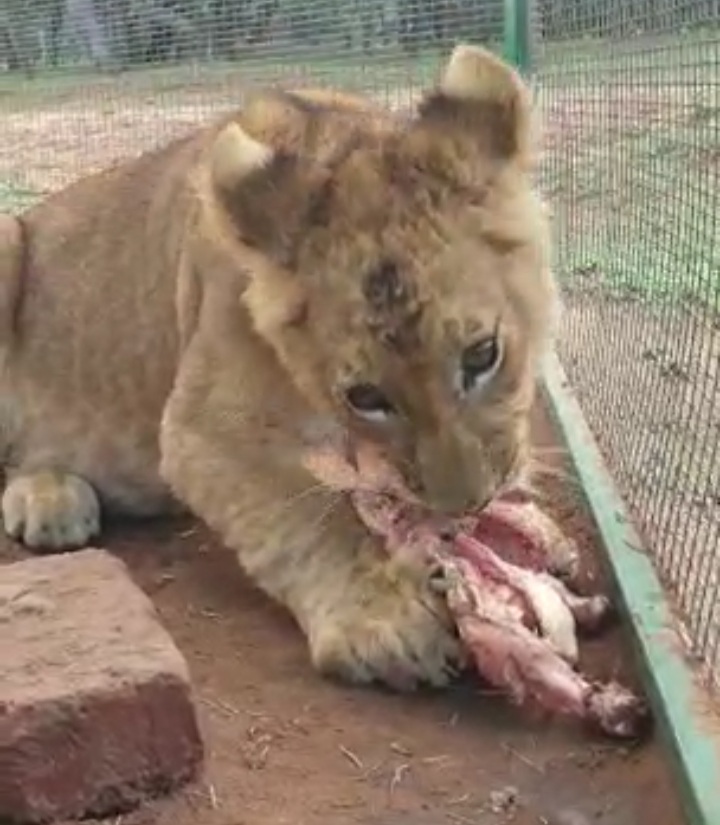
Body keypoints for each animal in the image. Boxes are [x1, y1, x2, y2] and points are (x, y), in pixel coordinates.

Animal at [0, 45, 558, 690]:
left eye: (483, 355)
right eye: (366, 397)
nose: (468, 506)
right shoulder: (201, 429)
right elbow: (309, 518)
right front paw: (388, 619)